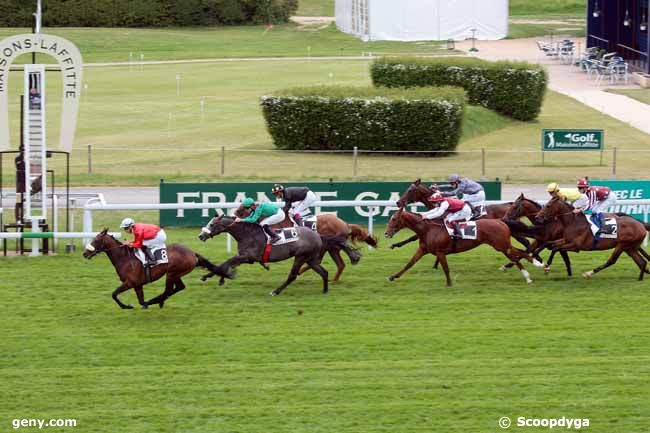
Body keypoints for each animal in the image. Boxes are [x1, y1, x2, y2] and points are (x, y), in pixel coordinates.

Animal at [81, 228, 233, 308]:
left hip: (172, 273)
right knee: (179, 287)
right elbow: (140, 300)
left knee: (169, 290)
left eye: (96, 240)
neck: (125, 258)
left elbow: (114, 294)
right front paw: (140, 304)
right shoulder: (137, 284)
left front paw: (127, 306)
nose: (85, 253)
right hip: (175, 274)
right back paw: (158, 301)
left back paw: (158, 300)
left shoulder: (130, 282)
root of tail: (192, 253)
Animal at [199, 215, 344, 296]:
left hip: (300, 257)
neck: (247, 234)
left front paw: (212, 276)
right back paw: (325, 290)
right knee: (324, 272)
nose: (201, 236)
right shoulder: (244, 257)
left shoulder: (248, 257)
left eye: (212, 224)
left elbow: (227, 262)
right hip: (310, 259)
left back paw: (276, 291)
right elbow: (227, 264)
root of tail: (318, 235)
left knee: (292, 276)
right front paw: (217, 277)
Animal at [233, 205, 374, 282]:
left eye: (243, 207)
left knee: (325, 260)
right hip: (331, 247)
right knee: (339, 263)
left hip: (327, 246)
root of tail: (344, 223)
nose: (234, 213)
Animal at [384, 208, 532, 286]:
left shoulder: (440, 252)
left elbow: (446, 268)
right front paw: (393, 276)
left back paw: (531, 272)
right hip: (502, 245)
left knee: (518, 255)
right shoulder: (423, 249)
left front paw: (449, 284)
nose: (386, 233)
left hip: (501, 245)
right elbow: (410, 263)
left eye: (394, 219)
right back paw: (530, 270)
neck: (428, 229)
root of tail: (500, 221)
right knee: (518, 254)